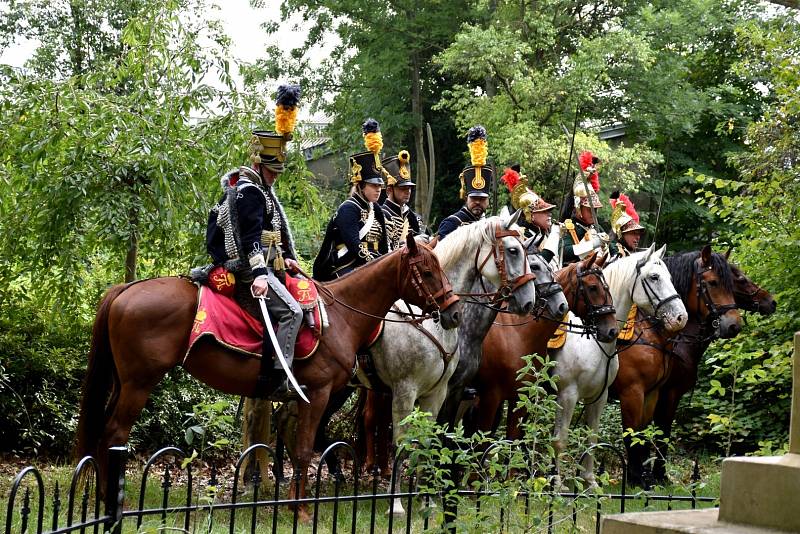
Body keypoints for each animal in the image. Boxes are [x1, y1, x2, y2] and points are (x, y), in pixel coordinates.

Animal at [79, 234, 462, 520]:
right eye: (428, 271)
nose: (454, 312)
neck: (340, 315)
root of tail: (126, 288)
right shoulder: (320, 394)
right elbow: (305, 449)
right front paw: (301, 510)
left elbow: (298, 447)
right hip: (138, 384)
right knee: (114, 432)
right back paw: (111, 501)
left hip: (123, 382)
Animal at [552, 246, 688, 490]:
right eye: (654, 277)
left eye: (671, 278)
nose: (681, 317)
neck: (592, 341)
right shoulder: (568, 394)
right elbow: (561, 438)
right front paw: (558, 484)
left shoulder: (600, 396)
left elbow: (593, 437)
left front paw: (591, 482)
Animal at [608, 245, 764, 488]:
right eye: (713, 282)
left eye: (731, 282)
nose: (733, 325)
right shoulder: (639, 393)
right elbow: (639, 434)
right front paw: (641, 479)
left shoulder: (654, 393)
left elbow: (652, 434)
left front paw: (653, 476)